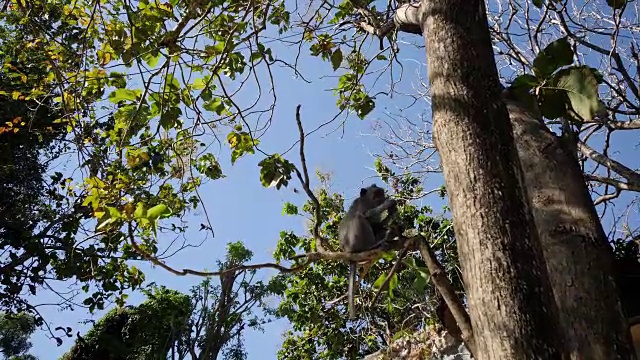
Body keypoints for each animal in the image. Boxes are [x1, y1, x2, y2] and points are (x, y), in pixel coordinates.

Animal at [338, 184, 398, 320]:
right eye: (373, 187)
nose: (378, 186)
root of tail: (349, 254)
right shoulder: (363, 205)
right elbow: (368, 215)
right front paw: (390, 203)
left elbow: (376, 223)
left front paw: (392, 213)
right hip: (355, 240)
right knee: (360, 218)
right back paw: (374, 245)